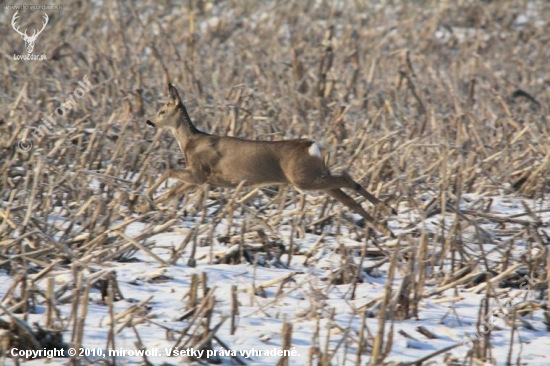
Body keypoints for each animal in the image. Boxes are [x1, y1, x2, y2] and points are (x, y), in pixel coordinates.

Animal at [142, 83, 396, 237]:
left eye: (162, 110)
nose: (149, 121)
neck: (190, 142)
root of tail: (313, 146)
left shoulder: (199, 172)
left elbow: (169, 171)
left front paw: (148, 197)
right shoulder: (203, 178)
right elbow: (173, 190)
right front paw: (152, 203)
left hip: (302, 178)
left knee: (345, 178)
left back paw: (387, 209)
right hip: (314, 175)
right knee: (348, 196)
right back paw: (387, 226)